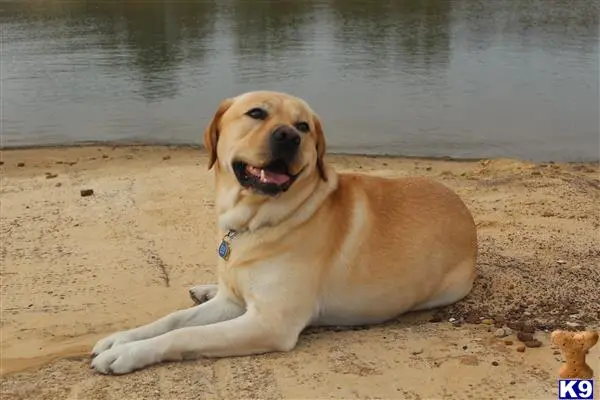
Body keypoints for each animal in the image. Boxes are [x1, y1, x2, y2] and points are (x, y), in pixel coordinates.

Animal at [89, 89, 476, 374]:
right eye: (256, 113)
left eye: (303, 126)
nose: (289, 136)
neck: (254, 222)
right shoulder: (231, 304)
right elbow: (174, 319)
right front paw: (120, 339)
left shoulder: (268, 322)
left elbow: (188, 334)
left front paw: (128, 353)